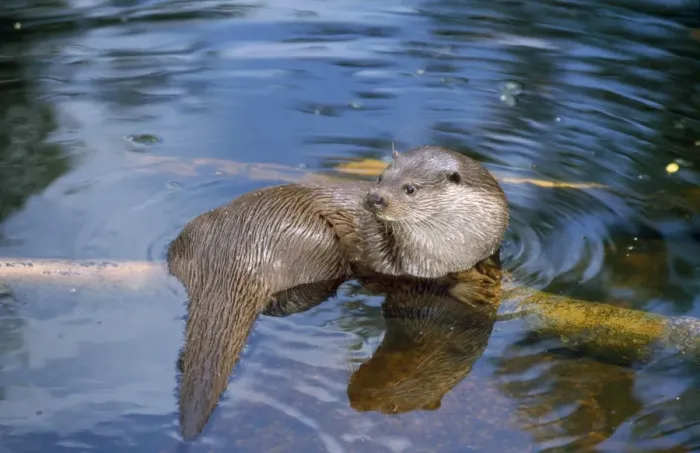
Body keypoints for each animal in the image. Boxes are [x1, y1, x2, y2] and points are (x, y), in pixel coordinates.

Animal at [167, 145, 509, 440]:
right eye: (381, 177)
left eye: (410, 188)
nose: (375, 198)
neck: (457, 248)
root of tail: (237, 248)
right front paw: (469, 289)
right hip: (319, 242)